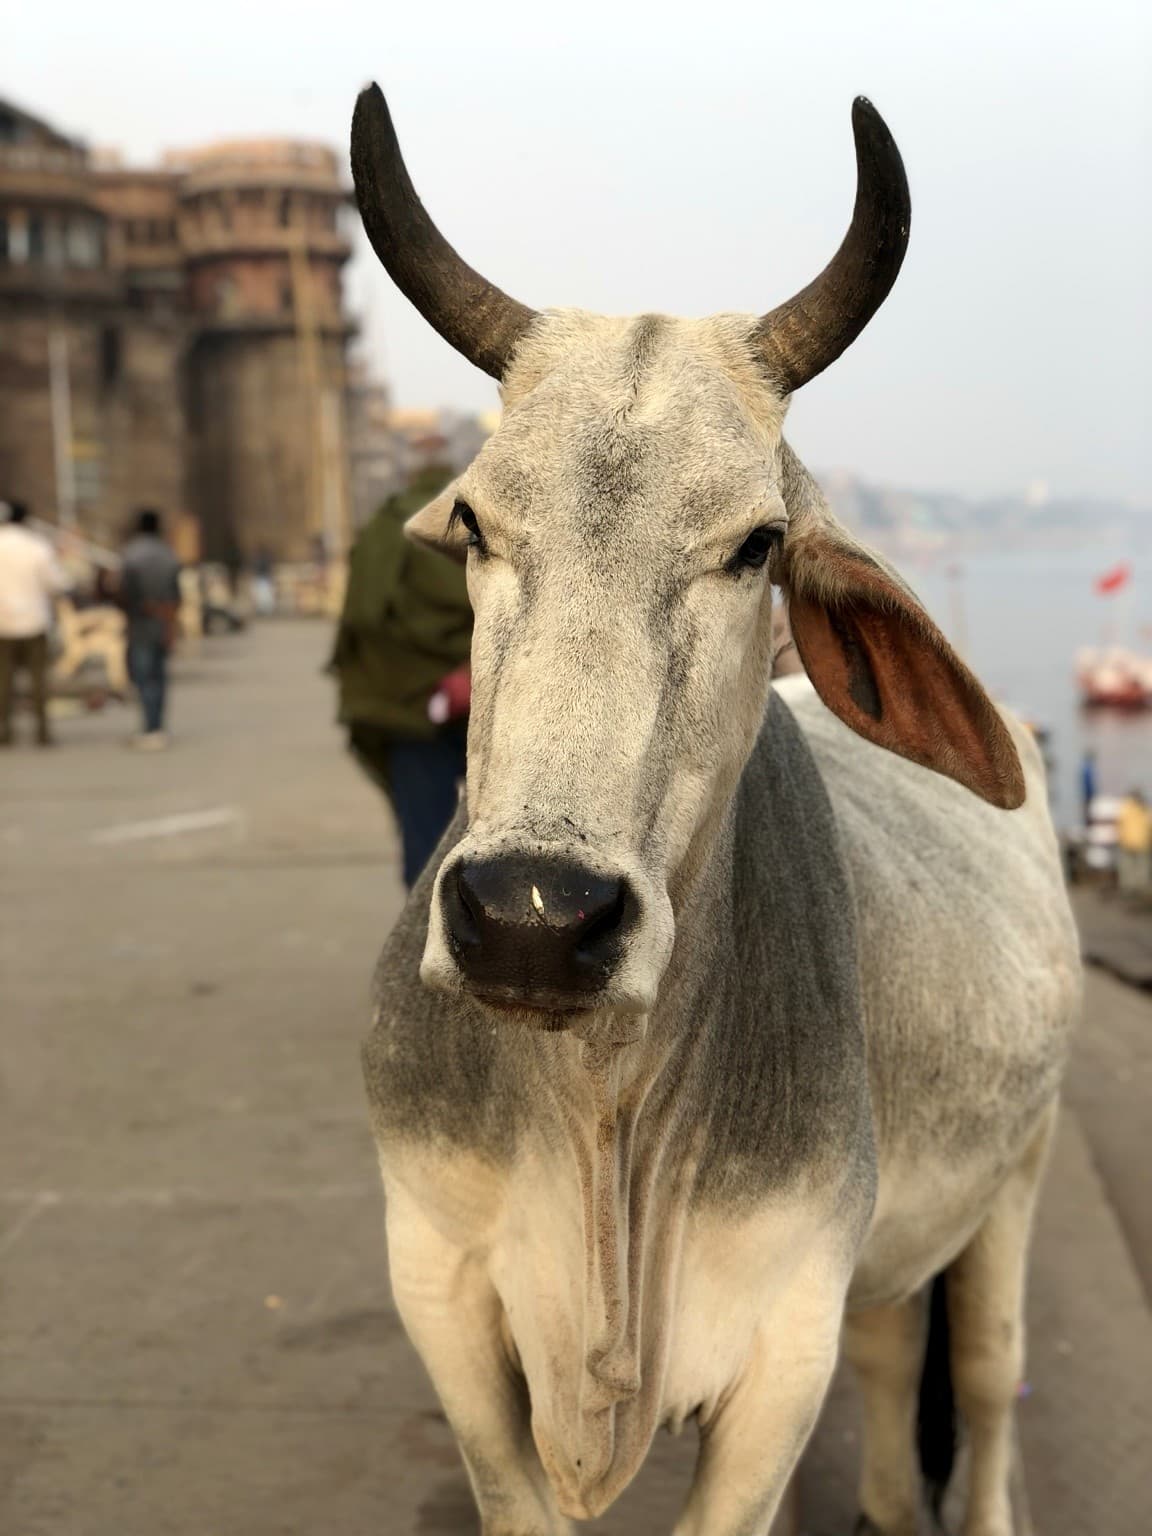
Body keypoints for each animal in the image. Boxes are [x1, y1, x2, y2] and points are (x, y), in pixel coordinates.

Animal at [351, 82, 1079, 1536]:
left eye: (757, 545)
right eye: (474, 524)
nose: (533, 918)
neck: (598, 1110)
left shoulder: (782, 1346)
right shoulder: (440, 1287)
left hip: (1015, 1171)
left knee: (981, 1380)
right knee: (895, 1348)